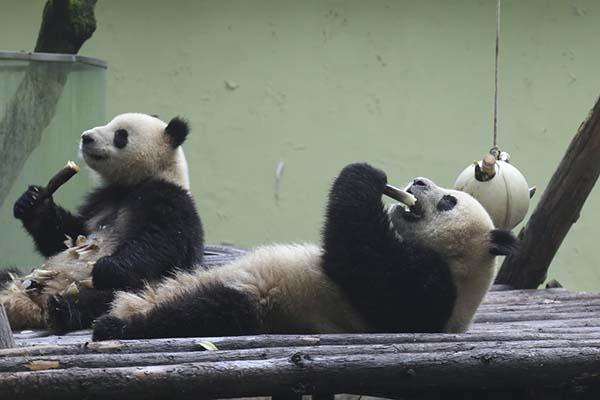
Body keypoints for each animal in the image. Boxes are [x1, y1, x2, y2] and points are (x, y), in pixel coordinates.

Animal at [0, 111, 204, 332]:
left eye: (121, 135)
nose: (86, 137)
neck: (130, 185)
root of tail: (30, 307)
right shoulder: (98, 202)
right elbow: (62, 236)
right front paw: (31, 202)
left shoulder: (169, 200)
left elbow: (161, 242)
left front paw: (106, 267)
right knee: (7, 274)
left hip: (139, 286)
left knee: (104, 298)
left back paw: (61, 309)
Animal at [92, 161, 516, 340]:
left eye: (448, 201)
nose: (418, 181)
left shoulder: (431, 293)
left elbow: (362, 260)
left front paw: (366, 175)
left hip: (262, 304)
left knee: (202, 312)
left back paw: (117, 325)